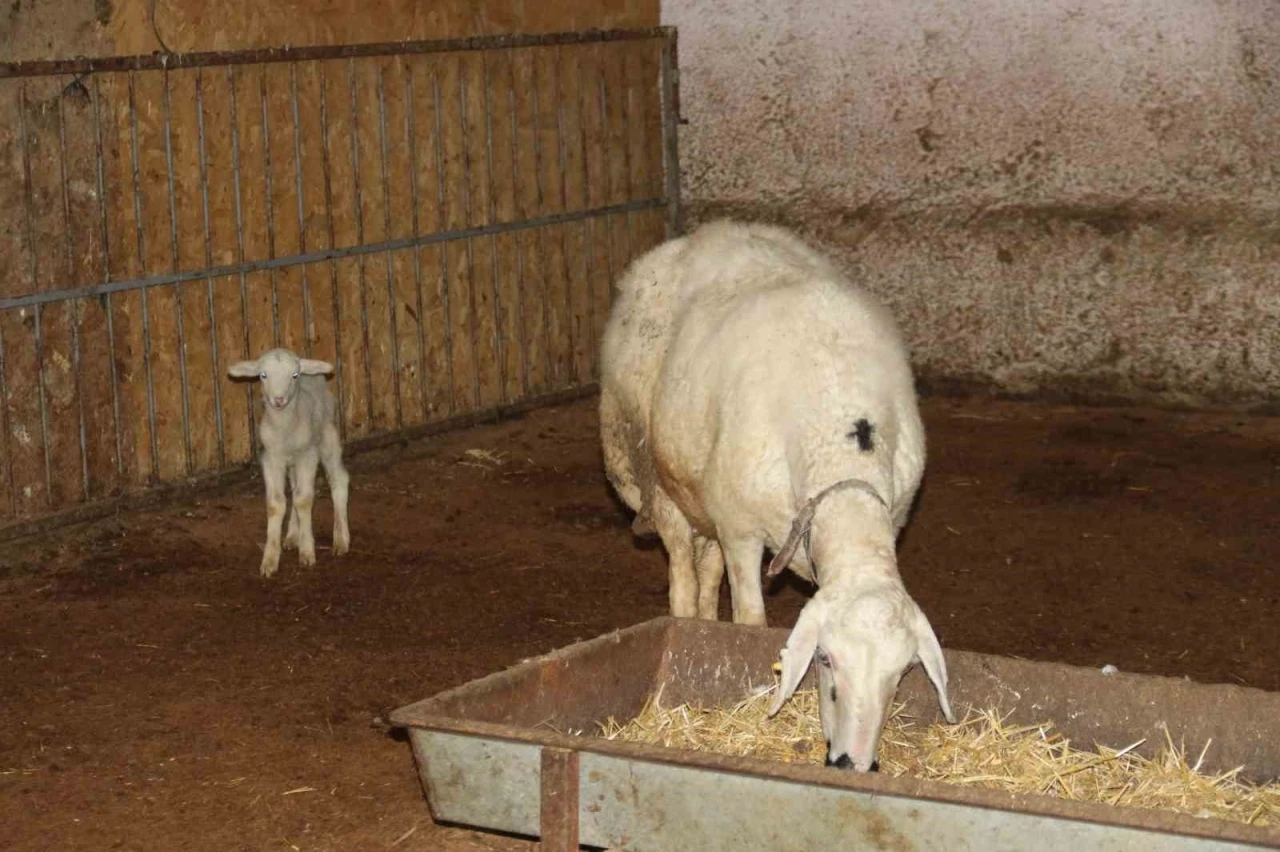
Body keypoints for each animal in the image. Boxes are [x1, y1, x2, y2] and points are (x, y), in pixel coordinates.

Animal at [227, 347, 350, 578]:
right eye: (263, 375)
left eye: (294, 375)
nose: (279, 399)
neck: (285, 427)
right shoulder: (271, 458)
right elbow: (276, 503)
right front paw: (270, 560)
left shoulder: (307, 455)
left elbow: (304, 499)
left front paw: (307, 552)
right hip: (292, 461)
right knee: (294, 487)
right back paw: (293, 535)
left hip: (327, 436)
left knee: (339, 480)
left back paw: (341, 538)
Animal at [599, 217, 952, 767]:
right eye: (826, 660)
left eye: (900, 674)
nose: (852, 764)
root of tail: (693, 238)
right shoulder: (742, 533)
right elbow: (751, 620)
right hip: (659, 480)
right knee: (681, 569)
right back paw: (685, 620)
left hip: (707, 498)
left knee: (706, 569)